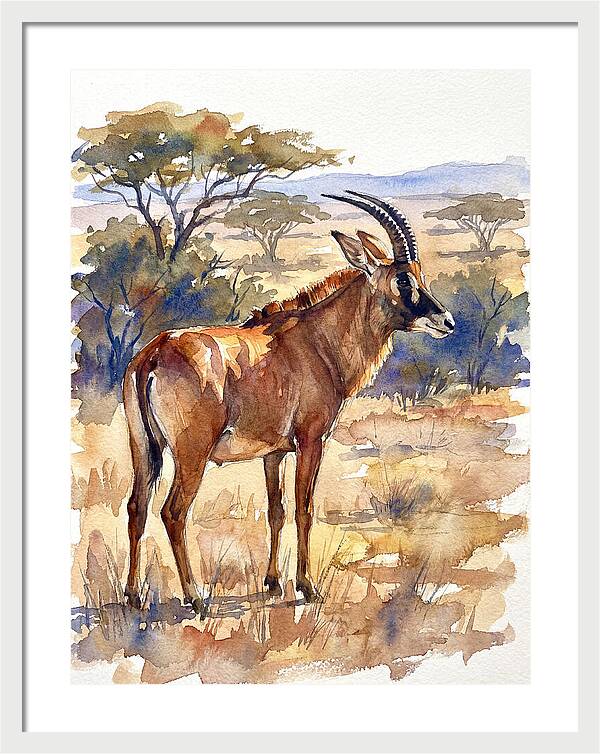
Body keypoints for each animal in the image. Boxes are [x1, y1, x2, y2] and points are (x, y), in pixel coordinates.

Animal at [123, 192, 454, 612]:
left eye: (419, 274)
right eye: (402, 278)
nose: (446, 321)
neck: (317, 339)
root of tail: (153, 354)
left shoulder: (274, 453)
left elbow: (276, 511)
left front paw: (272, 582)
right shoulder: (311, 440)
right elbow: (304, 509)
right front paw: (307, 587)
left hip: (144, 448)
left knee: (137, 506)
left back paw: (133, 595)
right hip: (191, 453)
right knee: (173, 511)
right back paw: (195, 597)